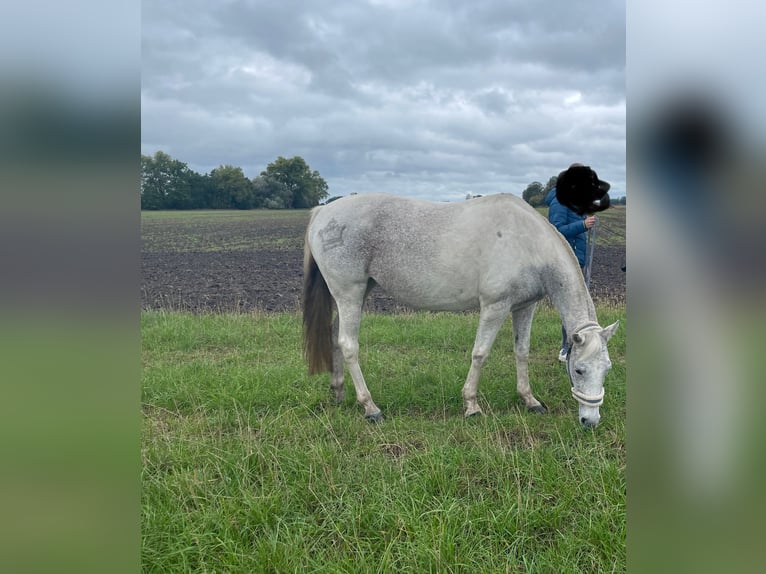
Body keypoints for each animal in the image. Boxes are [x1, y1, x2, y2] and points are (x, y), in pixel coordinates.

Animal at [304, 194, 620, 428]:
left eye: (607, 369)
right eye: (578, 370)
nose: (590, 421)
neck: (527, 242)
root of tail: (323, 211)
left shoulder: (524, 307)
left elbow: (522, 352)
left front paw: (530, 400)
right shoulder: (495, 306)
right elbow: (480, 354)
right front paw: (471, 406)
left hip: (357, 294)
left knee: (335, 336)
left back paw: (338, 392)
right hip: (350, 293)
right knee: (349, 345)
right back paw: (370, 407)